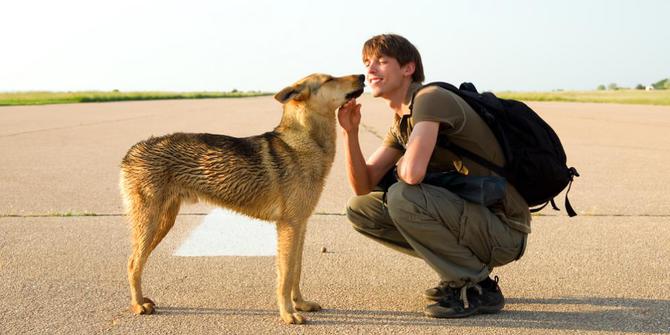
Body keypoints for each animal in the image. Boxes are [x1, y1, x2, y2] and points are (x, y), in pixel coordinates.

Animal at [118, 72, 364, 324]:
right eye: (330, 79)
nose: (363, 75)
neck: (305, 143)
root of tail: (132, 151)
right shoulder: (289, 226)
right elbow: (285, 276)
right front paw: (287, 313)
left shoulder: (301, 225)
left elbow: (296, 271)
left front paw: (300, 304)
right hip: (150, 224)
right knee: (133, 263)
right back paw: (138, 304)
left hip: (164, 222)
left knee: (135, 262)